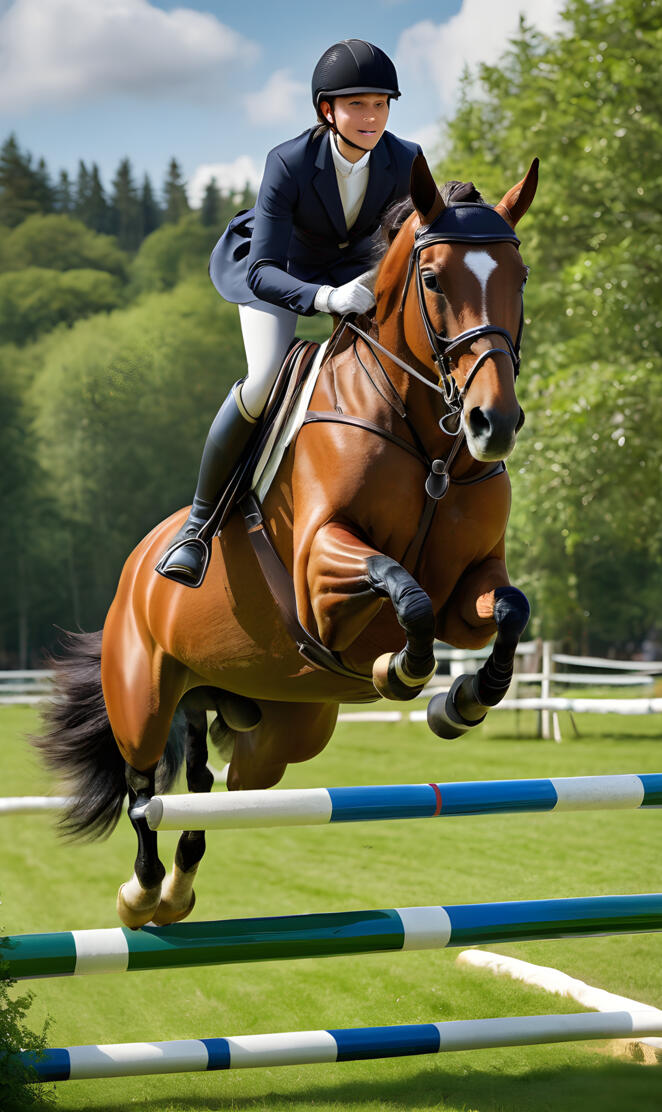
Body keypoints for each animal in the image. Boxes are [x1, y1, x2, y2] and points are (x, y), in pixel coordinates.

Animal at [35, 154, 538, 929]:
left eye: (520, 277)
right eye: (432, 280)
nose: (495, 424)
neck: (429, 447)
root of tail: (134, 567)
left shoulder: (472, 585)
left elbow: (507, 609)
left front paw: (462, 702)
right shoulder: (320, 575)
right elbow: (404, 590)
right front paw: (404, 672)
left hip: (281, 727)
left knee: (220, 787)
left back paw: (179, 889)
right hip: (142, 692)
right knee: (144, 786)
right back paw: (142, 893)